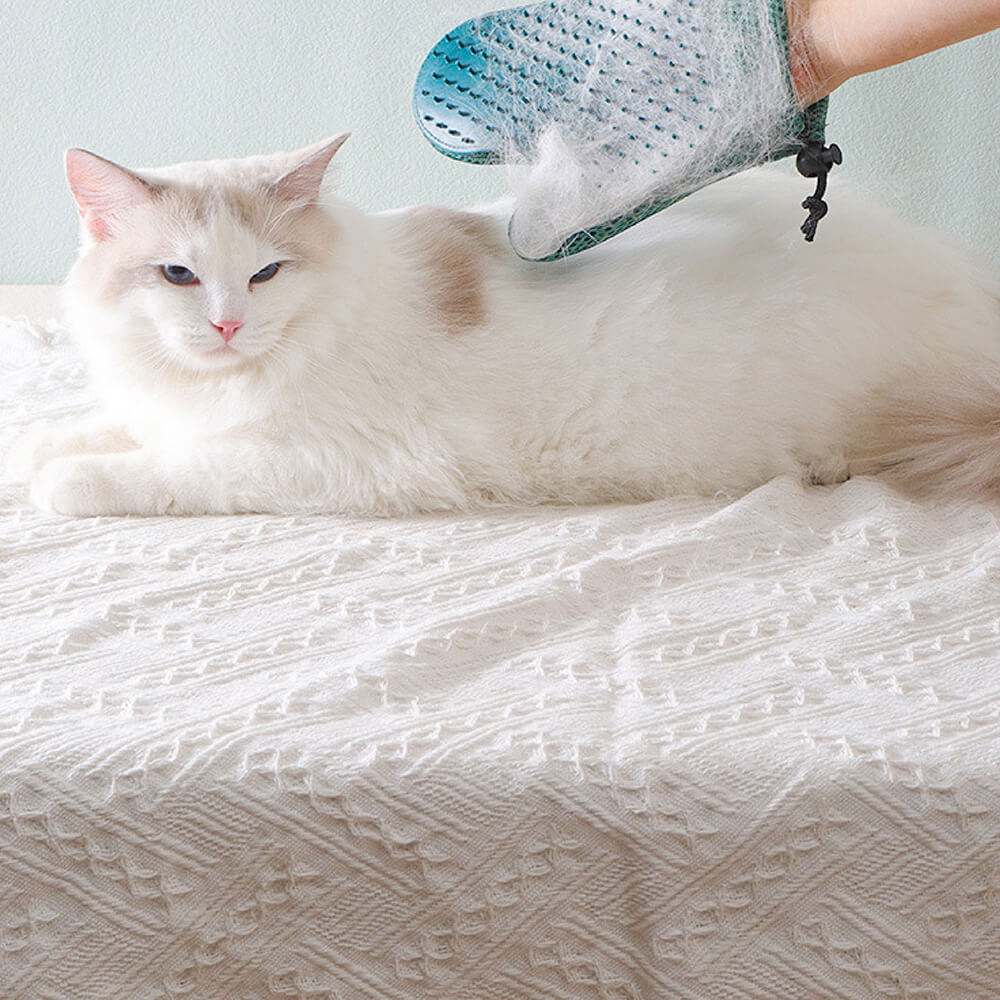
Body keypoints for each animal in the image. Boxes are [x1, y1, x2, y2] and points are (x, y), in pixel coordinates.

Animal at [7, 134, 1000, 520]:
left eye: (265, 274)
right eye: (177, 275)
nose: (224, 326)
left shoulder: (326, 462)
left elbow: (158, 469)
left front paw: (66, 481)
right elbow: (89, 428)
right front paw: (31, 450)